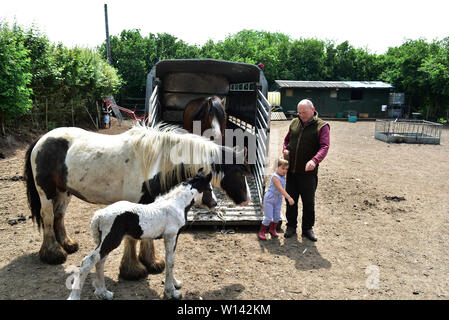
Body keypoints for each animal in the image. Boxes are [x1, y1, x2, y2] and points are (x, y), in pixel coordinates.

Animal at [24, 124, 250, 278]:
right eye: (239, 172)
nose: (246, 199)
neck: (154, 163)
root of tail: (41, 140)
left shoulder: (150, 202)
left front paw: (151, 262)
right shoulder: (135, 203)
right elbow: (133, 237)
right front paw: (133, 269)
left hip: (64, 192)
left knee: (59, 215)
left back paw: (68, 244)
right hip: (46, 192)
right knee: (48, 217)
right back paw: (53, 254)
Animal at [66, 171, 217, 298]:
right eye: (209, 189)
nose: (214, 203)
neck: (175, 205)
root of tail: (99, 215)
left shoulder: (173, 236)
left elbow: (171, 259)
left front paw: (175, 283)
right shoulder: (171, 235)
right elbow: (170, 261)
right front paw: (171, 291)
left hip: (105, 241)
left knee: (99, 262)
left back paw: (103, 293)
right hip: (111, 240)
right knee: (89, 261)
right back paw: (76, 296)